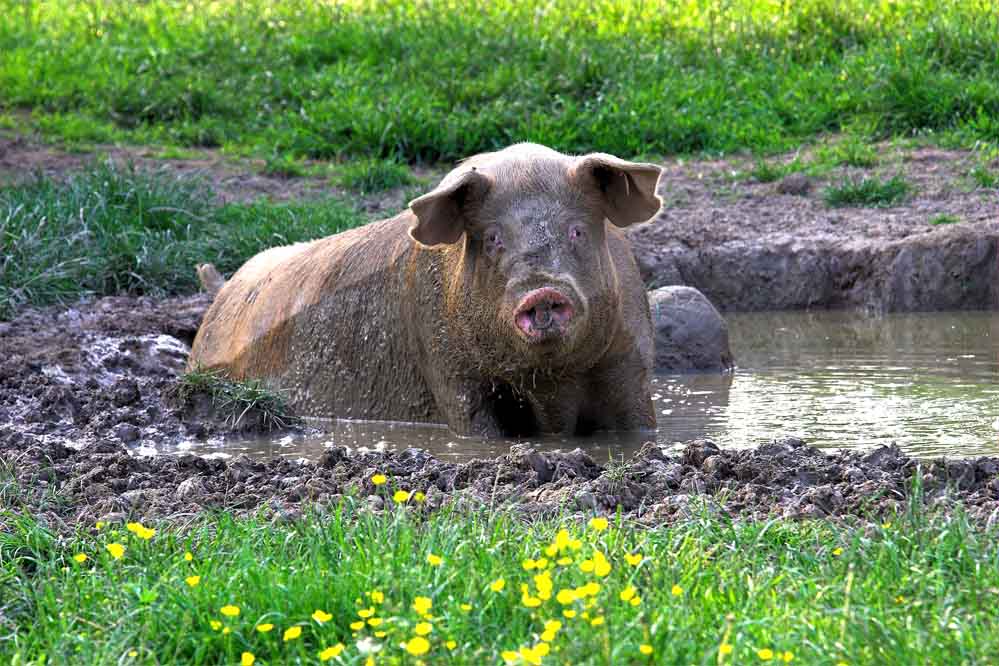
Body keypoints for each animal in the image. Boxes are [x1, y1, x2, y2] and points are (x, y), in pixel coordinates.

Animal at [188, 143, 664, 436]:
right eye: (493, 238)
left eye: (577, 230)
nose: (541, 291)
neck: (551, 383)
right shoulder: (447, 368)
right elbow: (476, 426)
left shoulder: (631, 361)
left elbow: (637, 425)